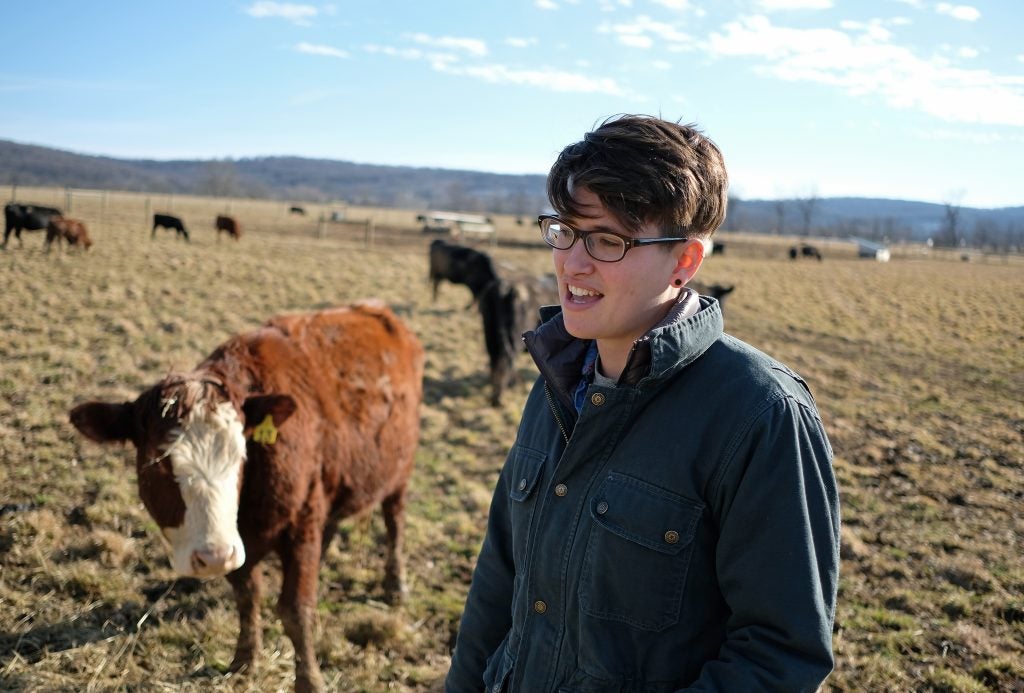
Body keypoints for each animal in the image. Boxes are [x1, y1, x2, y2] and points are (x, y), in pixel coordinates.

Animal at [70, 302, 423, 691]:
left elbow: (296, 609)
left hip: (399, 471)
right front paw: (244, 660)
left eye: (241, 456)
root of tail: (375, 309)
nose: (213, 557)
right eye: (157, 463)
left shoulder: (300, 524)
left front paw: (309, 679)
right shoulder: (247, 543)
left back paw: (395, 584)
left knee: (395, 521)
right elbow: (247, 598)